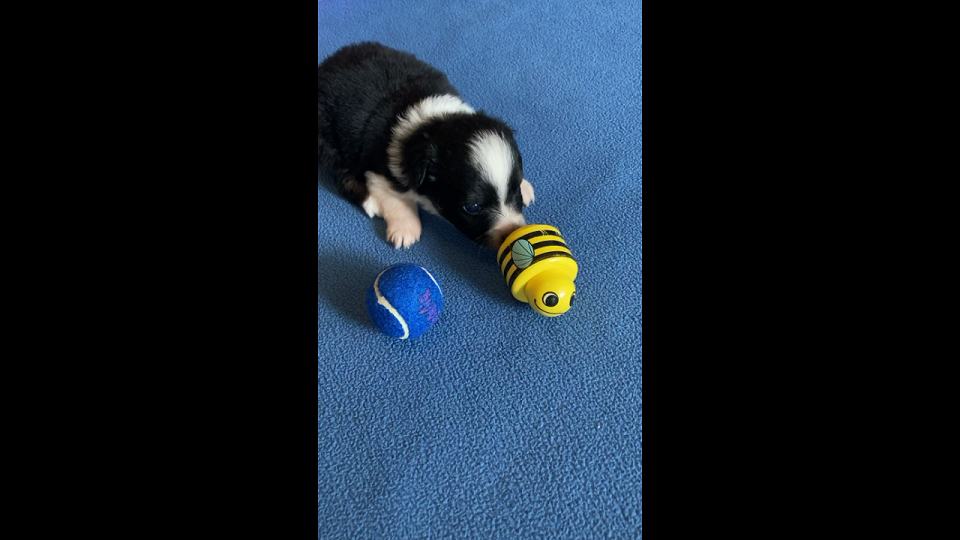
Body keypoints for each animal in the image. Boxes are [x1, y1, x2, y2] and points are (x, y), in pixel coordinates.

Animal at [320, 42, 532, 249]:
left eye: (515, 189)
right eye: (473, 208)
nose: (512, 230)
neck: (429, 125)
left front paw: (526, 186)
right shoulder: (376, 169)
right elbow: (393, 197)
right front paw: (405, 227)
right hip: (328, 141)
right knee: (342, 175)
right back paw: (371, 202)